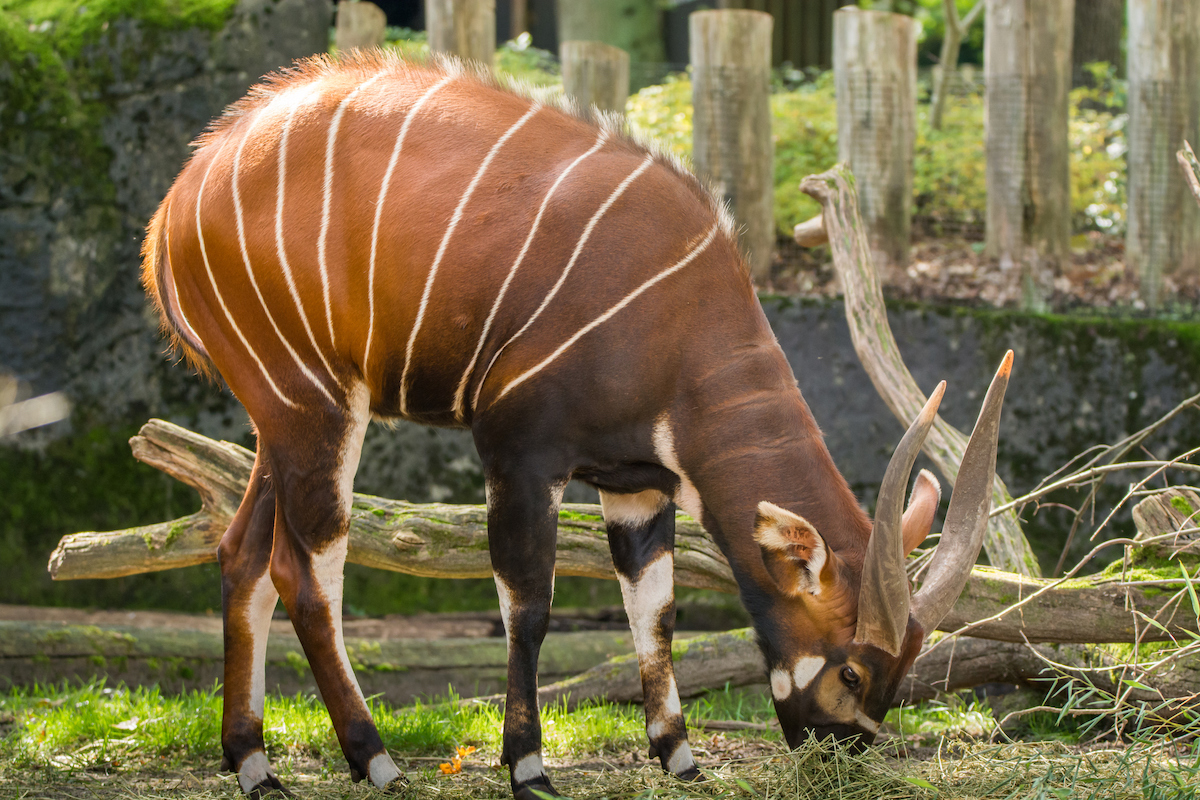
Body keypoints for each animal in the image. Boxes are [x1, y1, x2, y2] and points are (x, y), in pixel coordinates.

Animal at [142, 53, 1012, 796]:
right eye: (853, 671)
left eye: (901, 672)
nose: (842, 755)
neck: (680, 320)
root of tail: (180, 197)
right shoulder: (522, 452)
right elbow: (529, 606)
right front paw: (529, 768)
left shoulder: (637, 486)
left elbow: (655, 612)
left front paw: (680, 757)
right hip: (314, 406)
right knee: (307, 570)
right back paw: (376, 760)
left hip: (281, 419)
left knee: (242, 553)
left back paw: (254, 764)